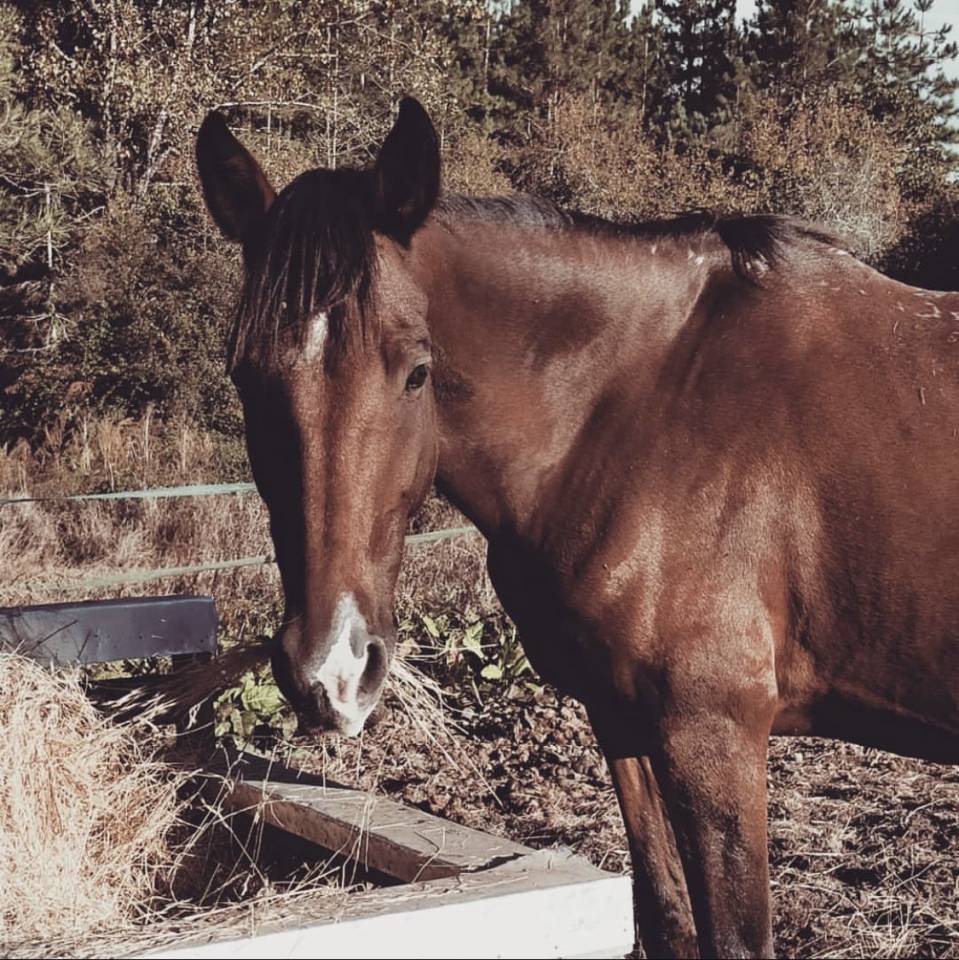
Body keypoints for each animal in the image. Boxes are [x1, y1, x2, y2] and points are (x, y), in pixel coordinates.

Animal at [195, 97, 958, 958]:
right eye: (244, 374)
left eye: (416, 371)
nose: (332, 671)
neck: (645, 404)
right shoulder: (621, 718)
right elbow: (664, 919)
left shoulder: (715, 732)